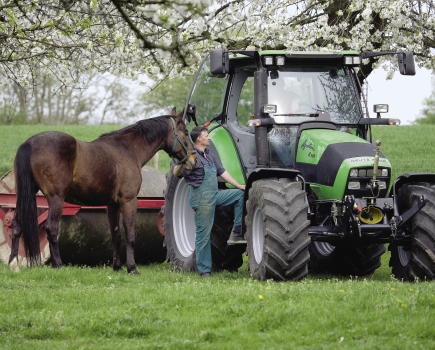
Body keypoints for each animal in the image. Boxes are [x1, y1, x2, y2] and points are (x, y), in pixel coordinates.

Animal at [9, 107, 197, 274]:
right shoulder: (129, 201)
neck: (128, 150)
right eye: (185, 132)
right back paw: (58, 265)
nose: (194, 159)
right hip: (56, 199)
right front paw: (132, 268)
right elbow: (130, 235)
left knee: (17, 226)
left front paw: (117, 266)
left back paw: (13, 264)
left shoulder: (112, 205)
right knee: (51, 229)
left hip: (23, 196)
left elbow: (116, 235)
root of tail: (29, 143)